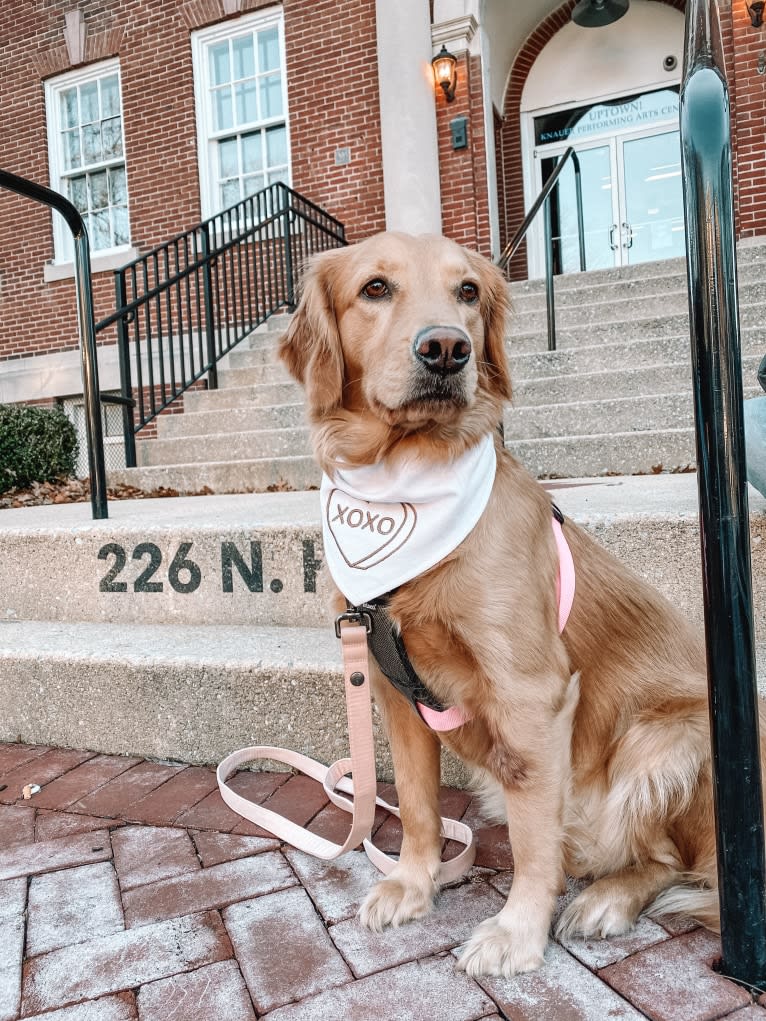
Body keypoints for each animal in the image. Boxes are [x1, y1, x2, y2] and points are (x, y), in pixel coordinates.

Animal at [277, 227, 751, 976]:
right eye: (375, 287)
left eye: (468, 291)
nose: (447, 349)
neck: (406, 475)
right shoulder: (393, 689)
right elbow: (417, 806)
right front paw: (414, 883)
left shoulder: (531, 694)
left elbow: (534, 843)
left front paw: (518, 931)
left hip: (666, 740)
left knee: (670, 860)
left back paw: (606, 900)